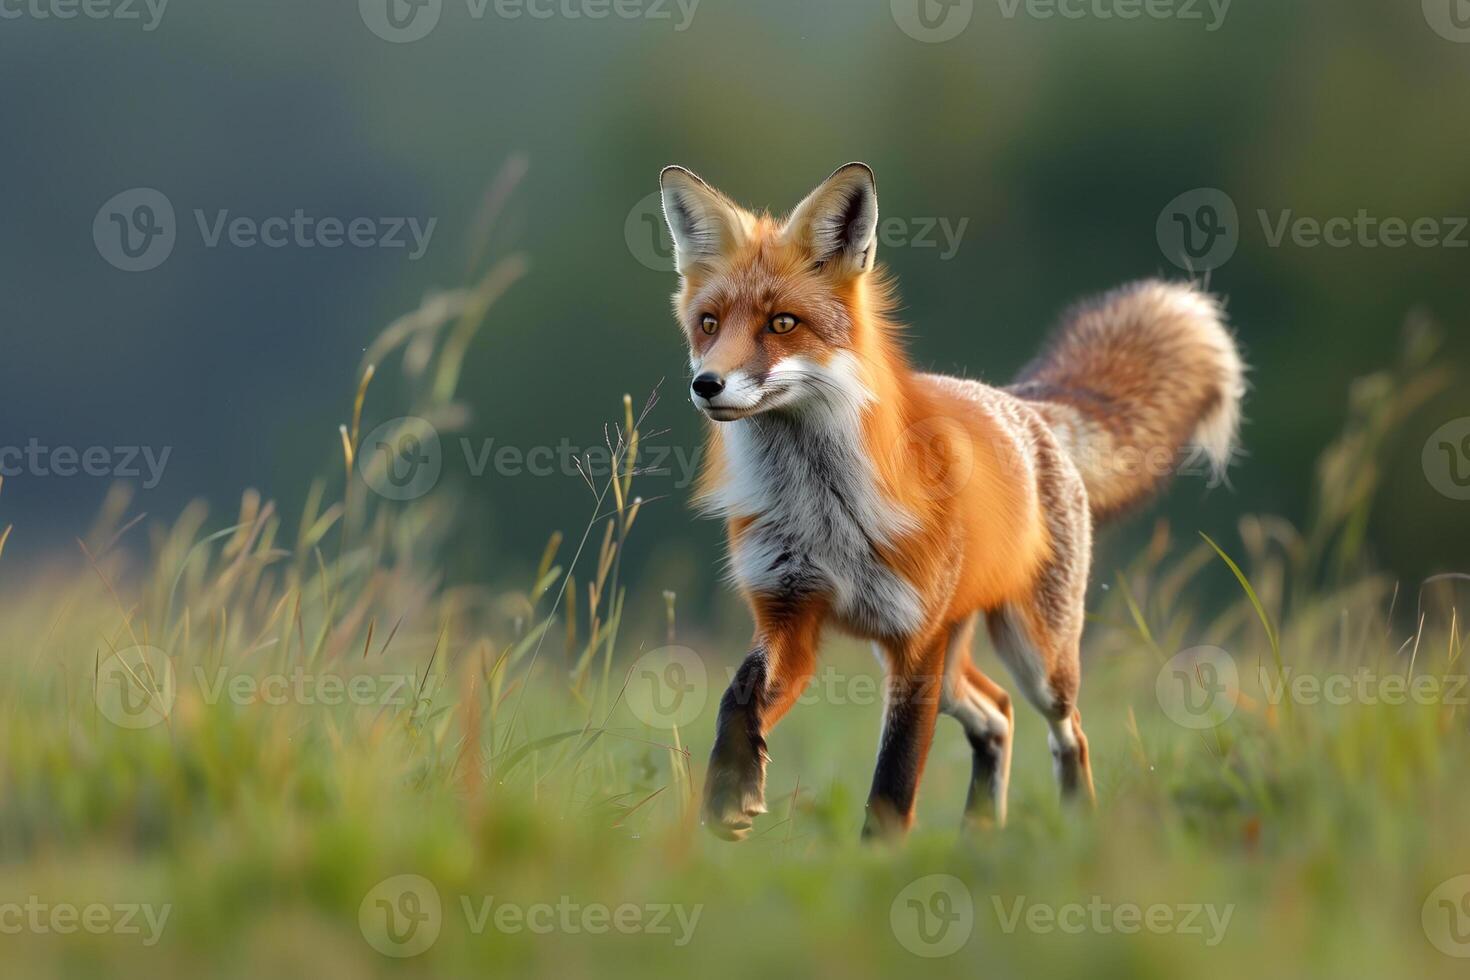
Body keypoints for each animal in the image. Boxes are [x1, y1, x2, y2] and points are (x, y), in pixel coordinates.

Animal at [661, 163, 1246, 846]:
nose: (706, 384)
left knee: (1067, 732)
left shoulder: (917, 643)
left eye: (782, 324)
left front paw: (876, 862)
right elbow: (739, 696)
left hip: (1034, 656)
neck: (824, 512)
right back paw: (980, 831)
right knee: (998, 713)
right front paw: (729, 791)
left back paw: (1075, 826)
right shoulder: (789, 613)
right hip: (949, 660)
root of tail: (1023, 401)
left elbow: (894, 781)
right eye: (708, 324)